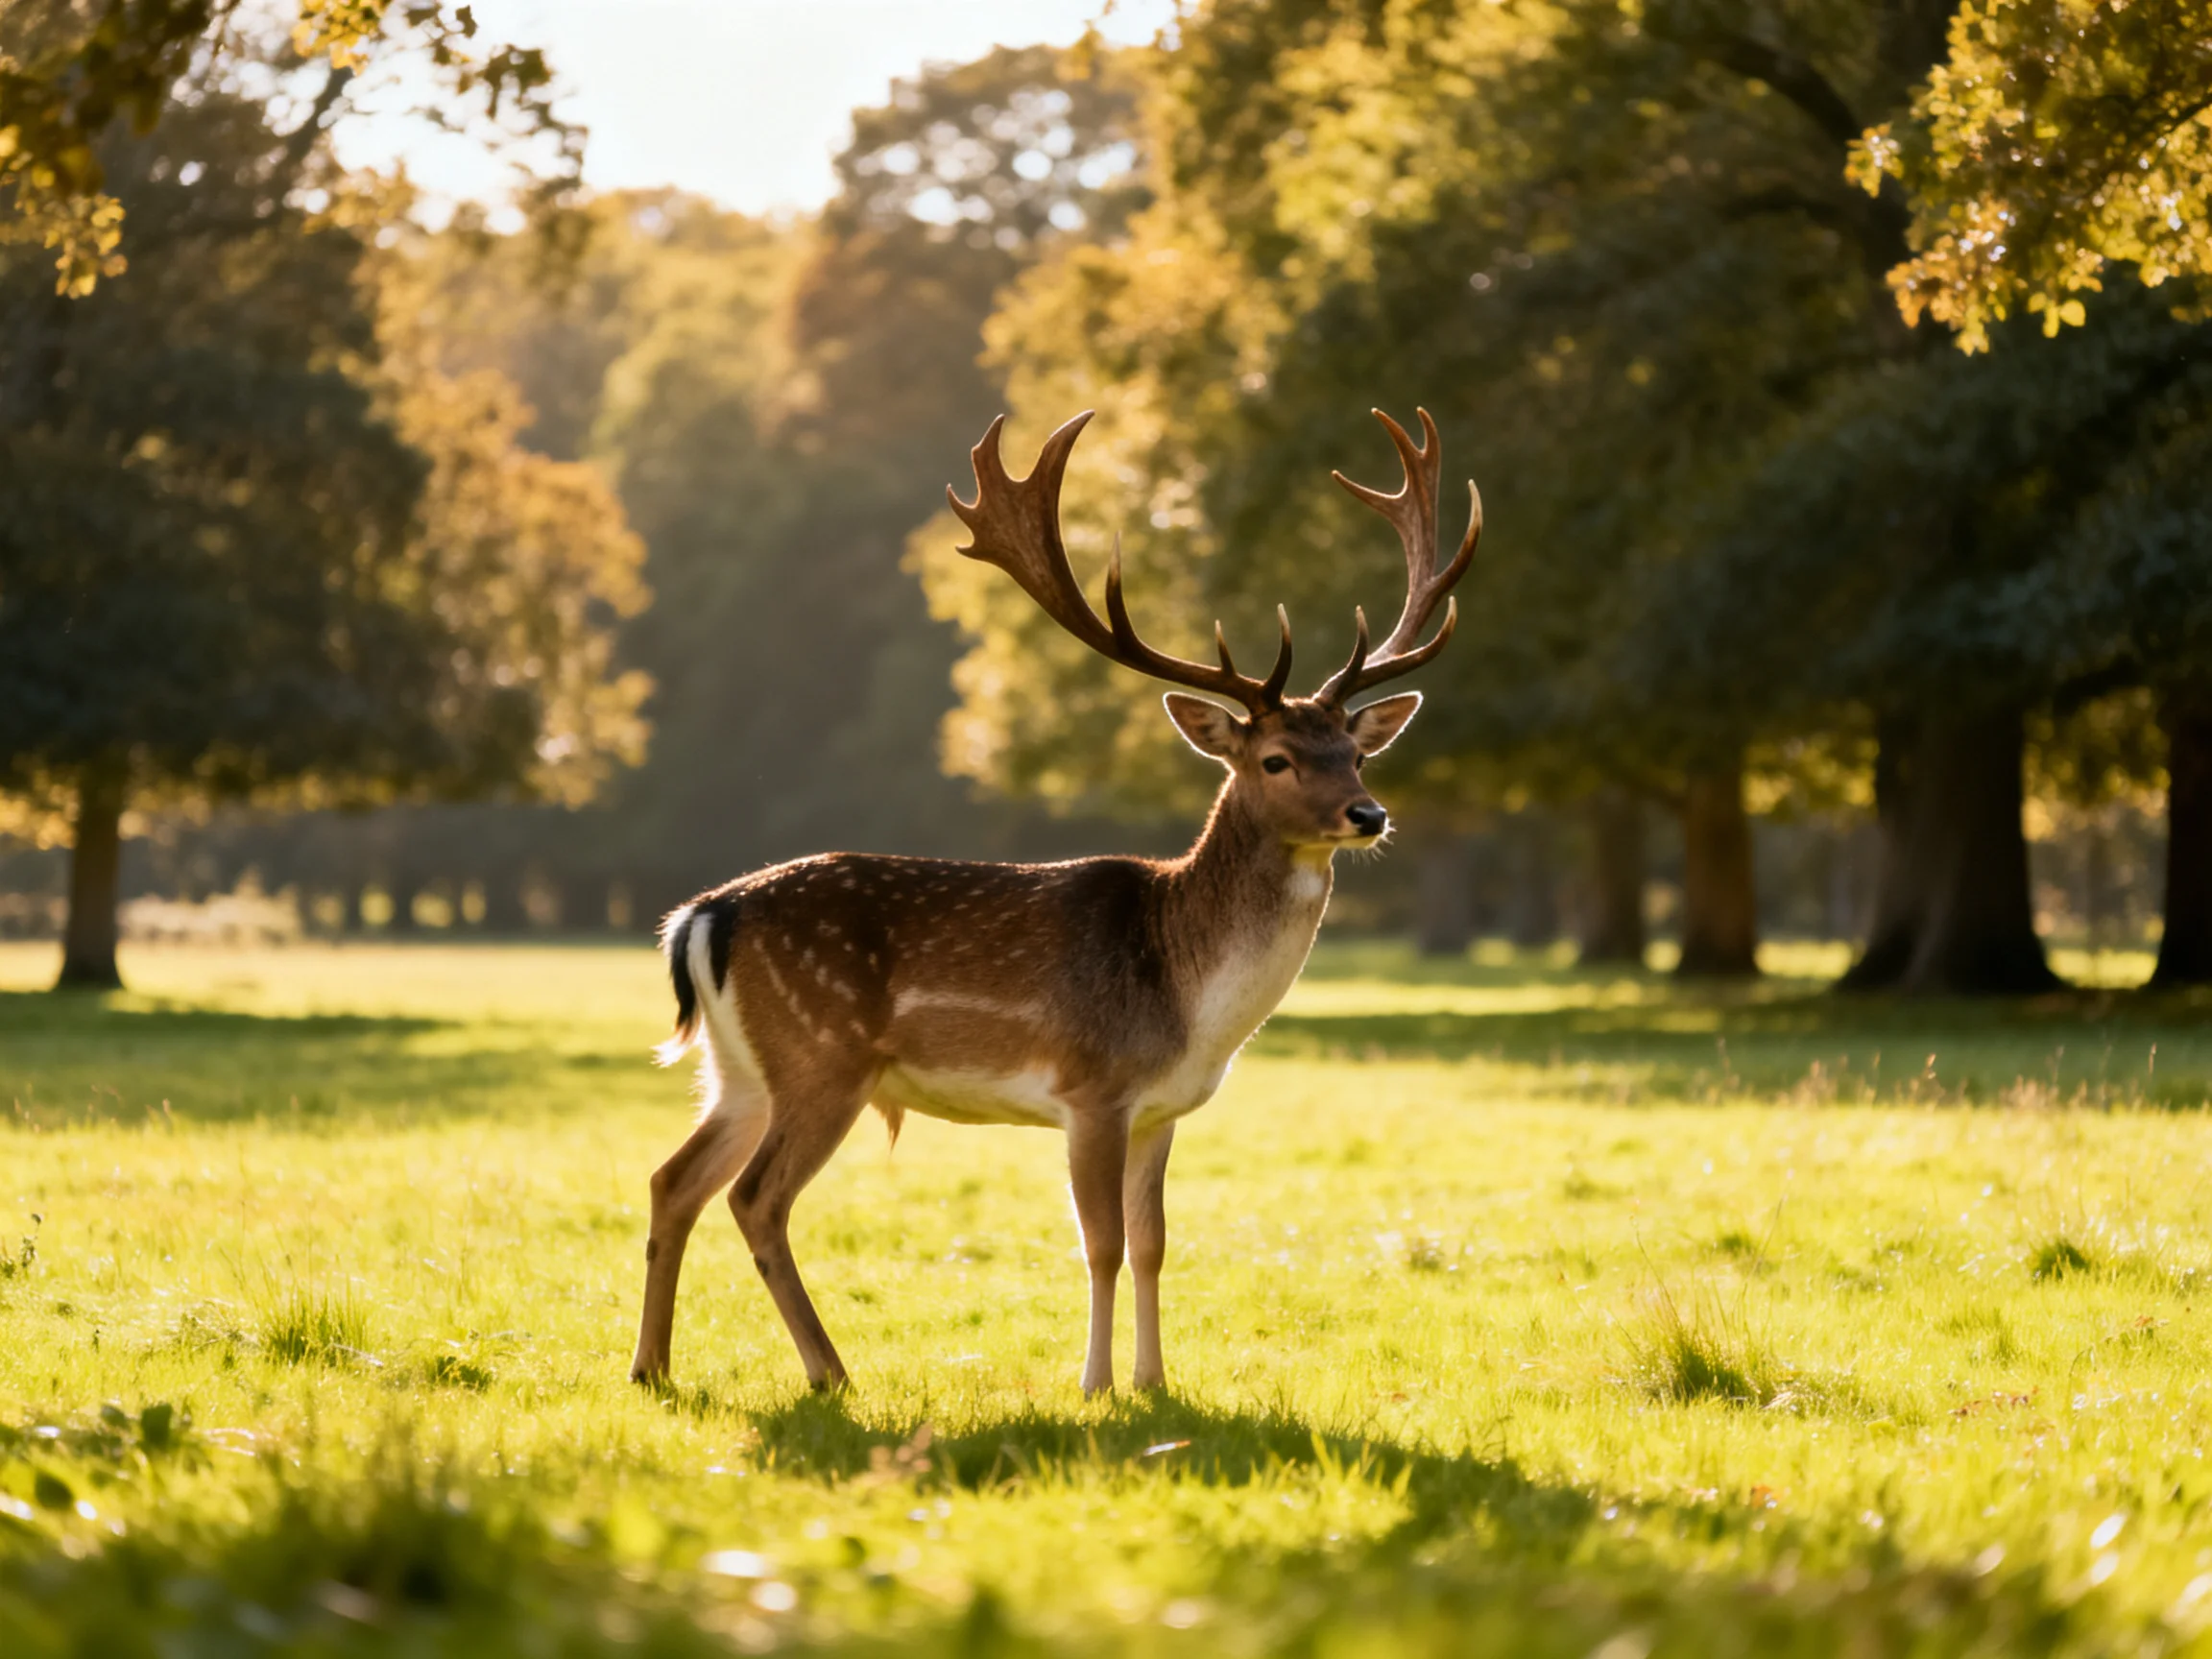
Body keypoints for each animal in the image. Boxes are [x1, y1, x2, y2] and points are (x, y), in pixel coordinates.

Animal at [631, 406, 1480, 1395]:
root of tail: (701, 918)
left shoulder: (1161, 1110)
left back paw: (652, 1369)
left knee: (674, 1179)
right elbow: (1101, 1244)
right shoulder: (1093, 1088)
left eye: (1357, 753)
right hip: (821, 1054)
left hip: (738, 1069)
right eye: (1276, 759)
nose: (1368, 814)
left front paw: (1155, 1382)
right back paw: (829, 1371)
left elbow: (1154, 1243)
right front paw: (1097, 1384)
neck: (1191, 1001)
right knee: (755, 1197)